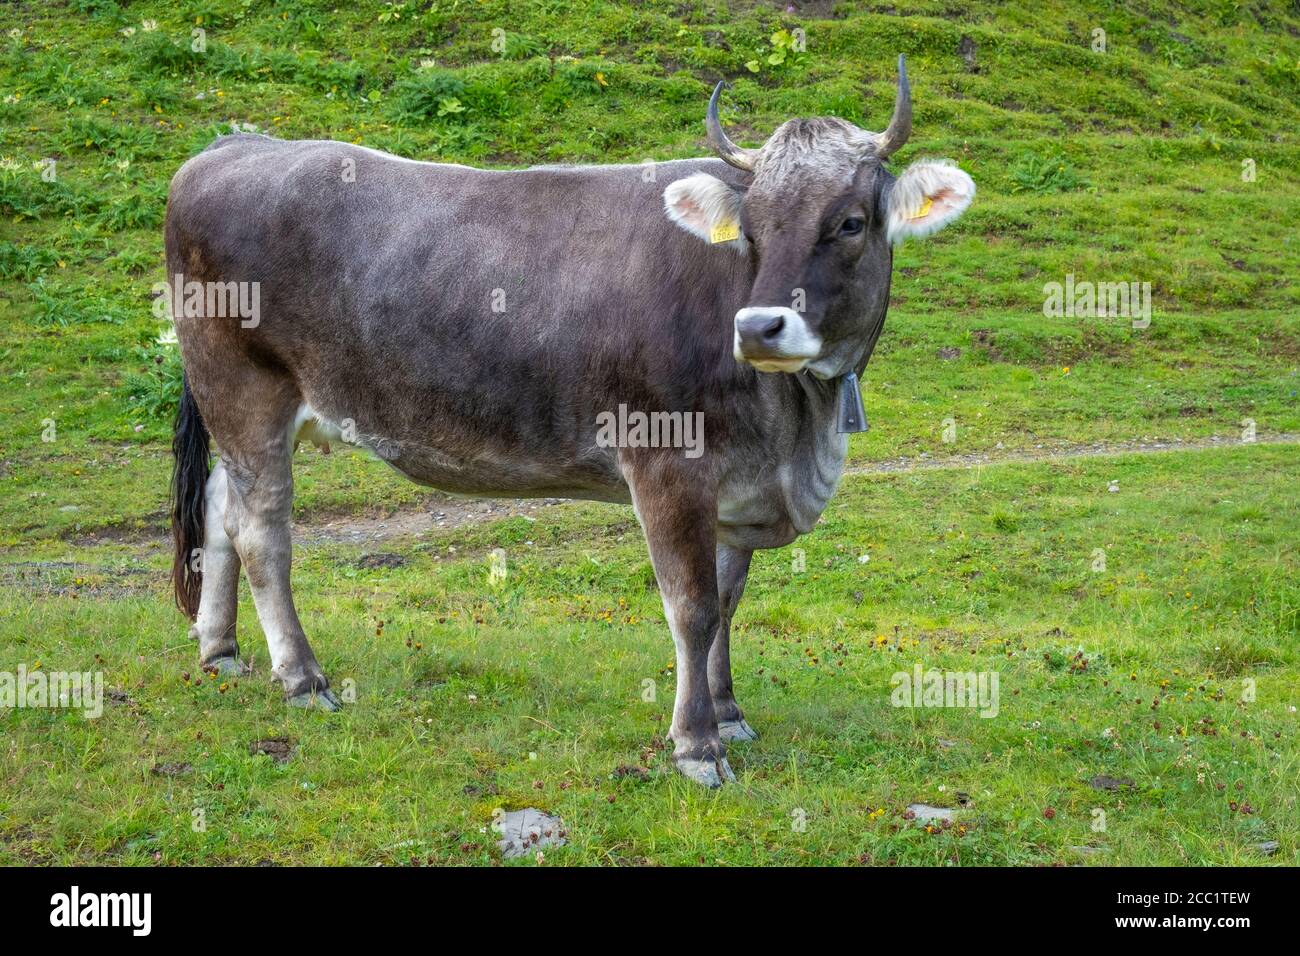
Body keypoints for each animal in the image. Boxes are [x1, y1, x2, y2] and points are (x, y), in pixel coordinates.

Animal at [167, 55, 972, 785]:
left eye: (851, 223)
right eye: (751, 231)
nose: (758, 327)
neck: (799, 430)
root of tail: (238, 146)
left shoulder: (738, 484)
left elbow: (728, 600)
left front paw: (730, 713)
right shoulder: (668, 463)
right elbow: (692, 607)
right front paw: (697, 745)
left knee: (220, 502)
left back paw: (220, 649)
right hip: (244, 388)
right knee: (261, 529)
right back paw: (302, 677)